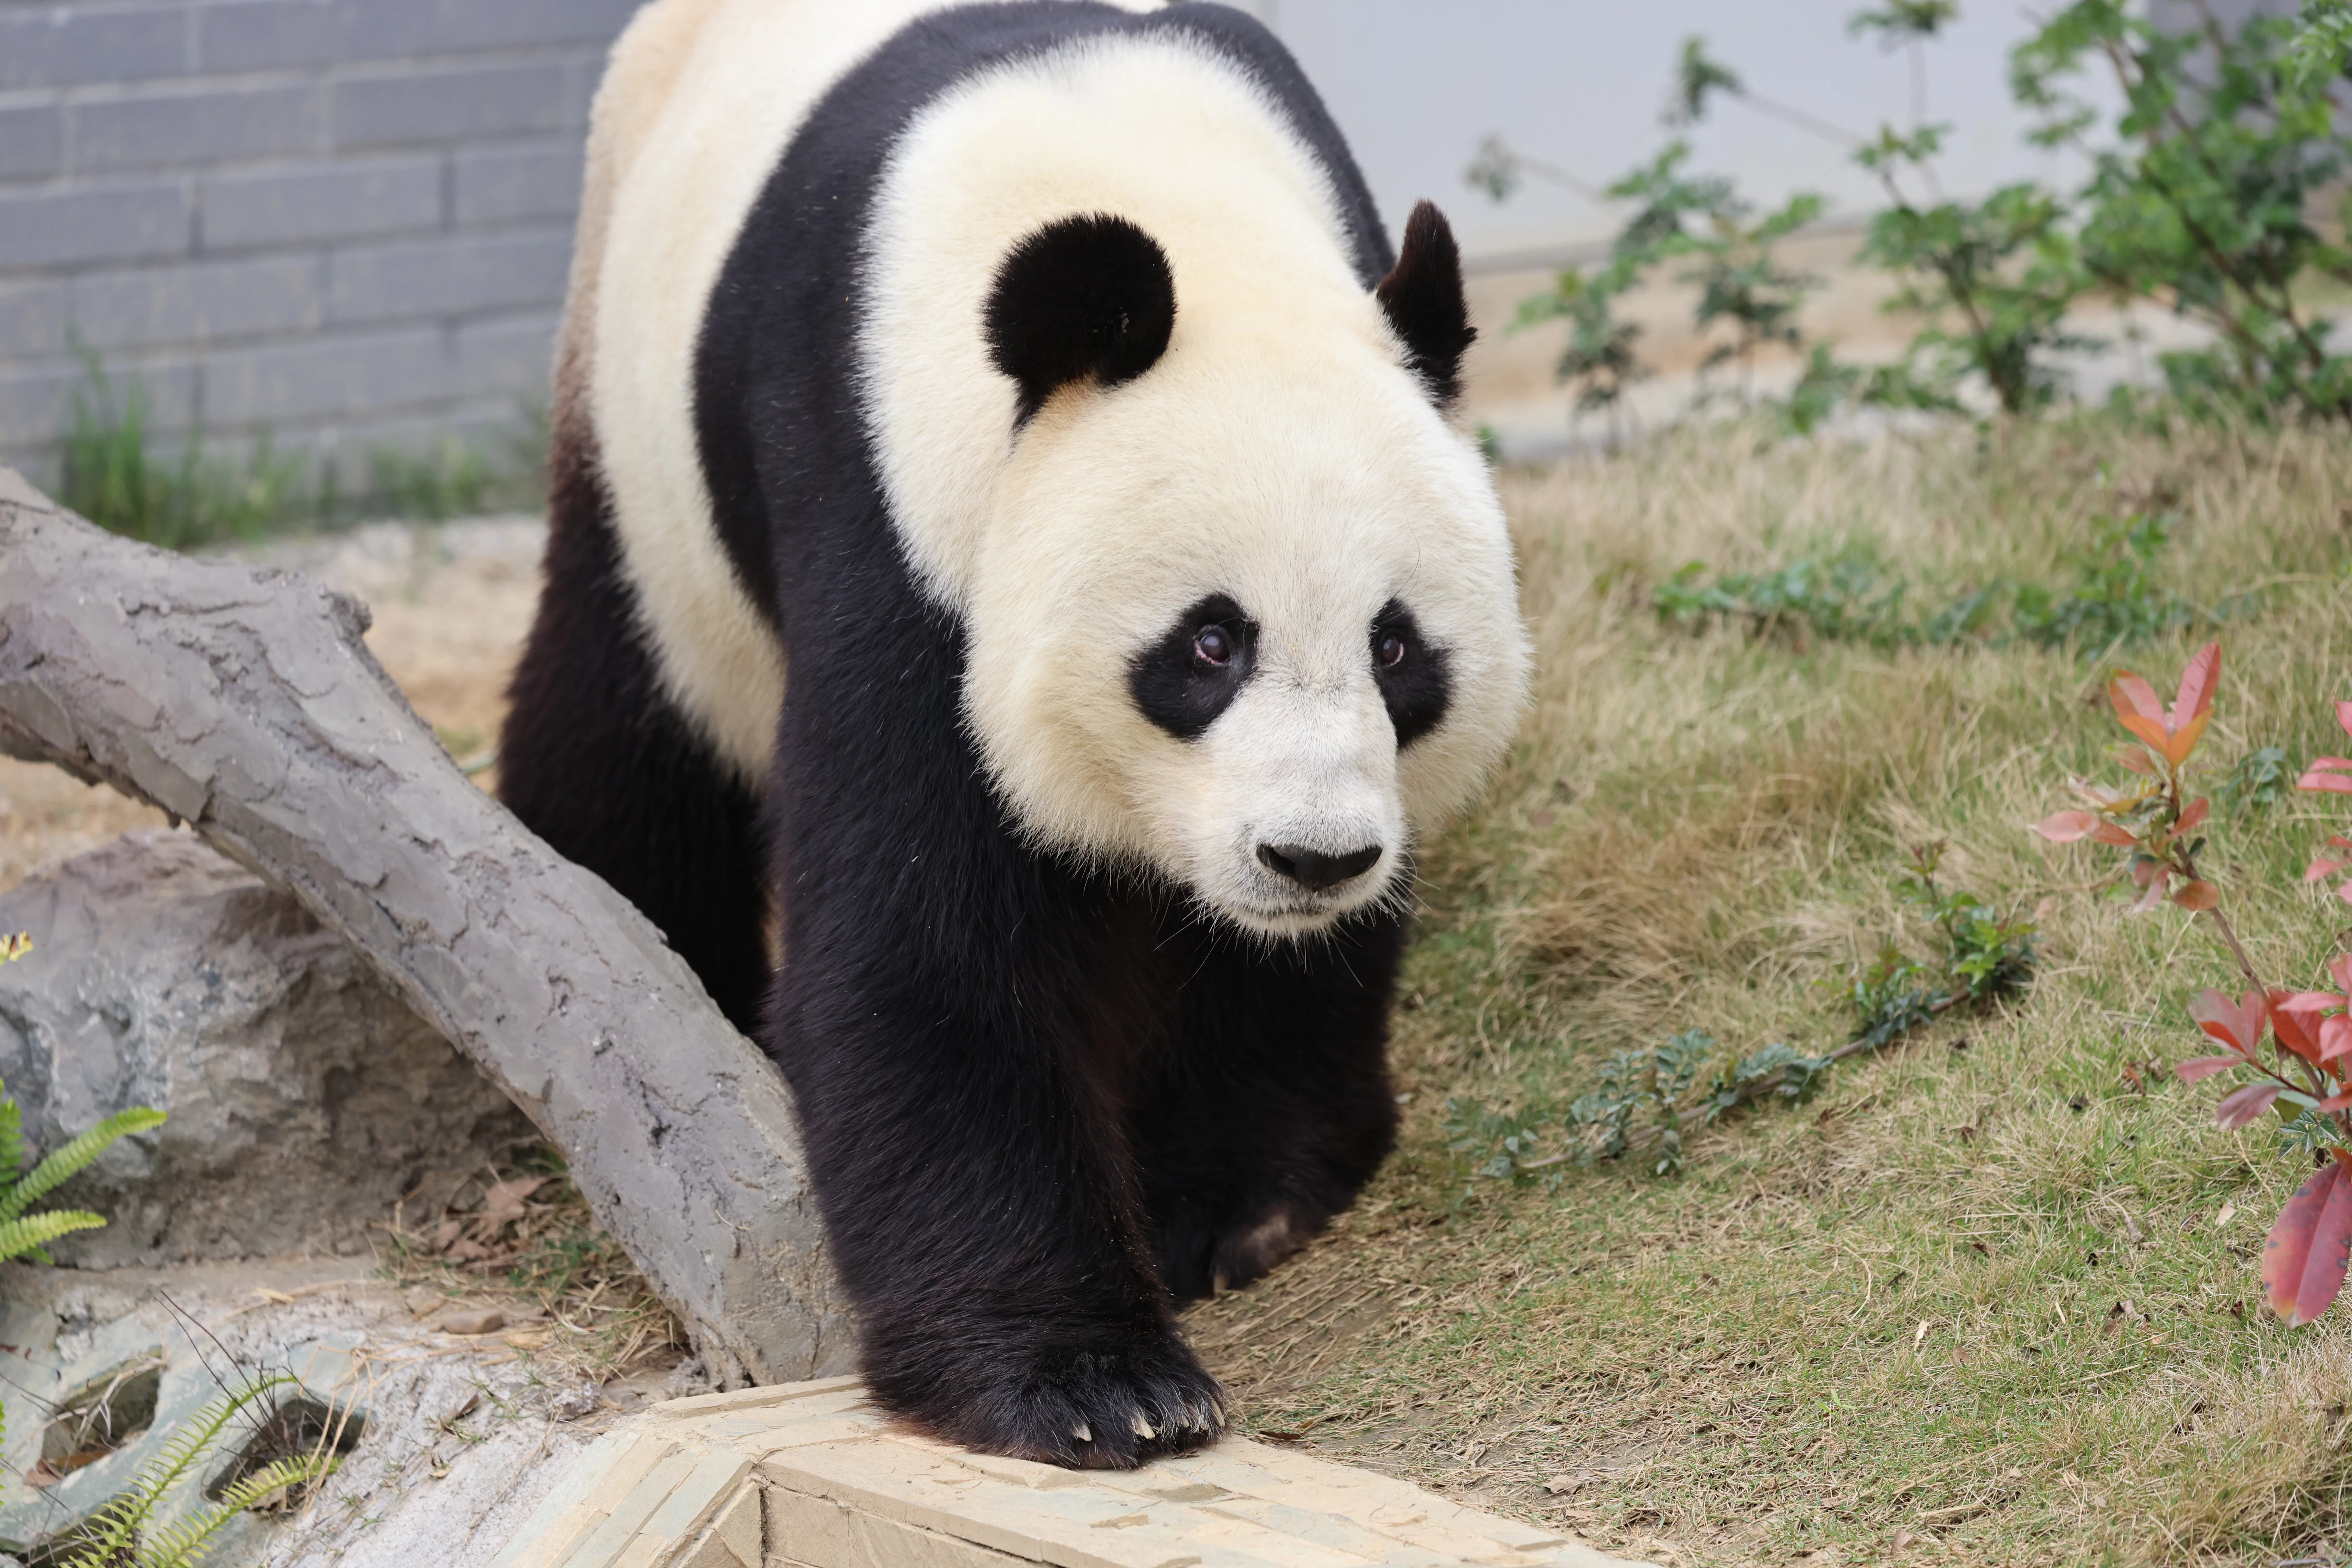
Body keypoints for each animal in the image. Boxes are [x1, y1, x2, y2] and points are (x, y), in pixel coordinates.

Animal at [499, 0, 1530, 1470]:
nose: (1311, 857)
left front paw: (1233, 1198)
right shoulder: (892, 525)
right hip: (641, 453)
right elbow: (929, 959)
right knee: (626, 735)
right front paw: (1094, 1383)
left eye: (1398, 648)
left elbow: (1272, 964)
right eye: (1209, 644)